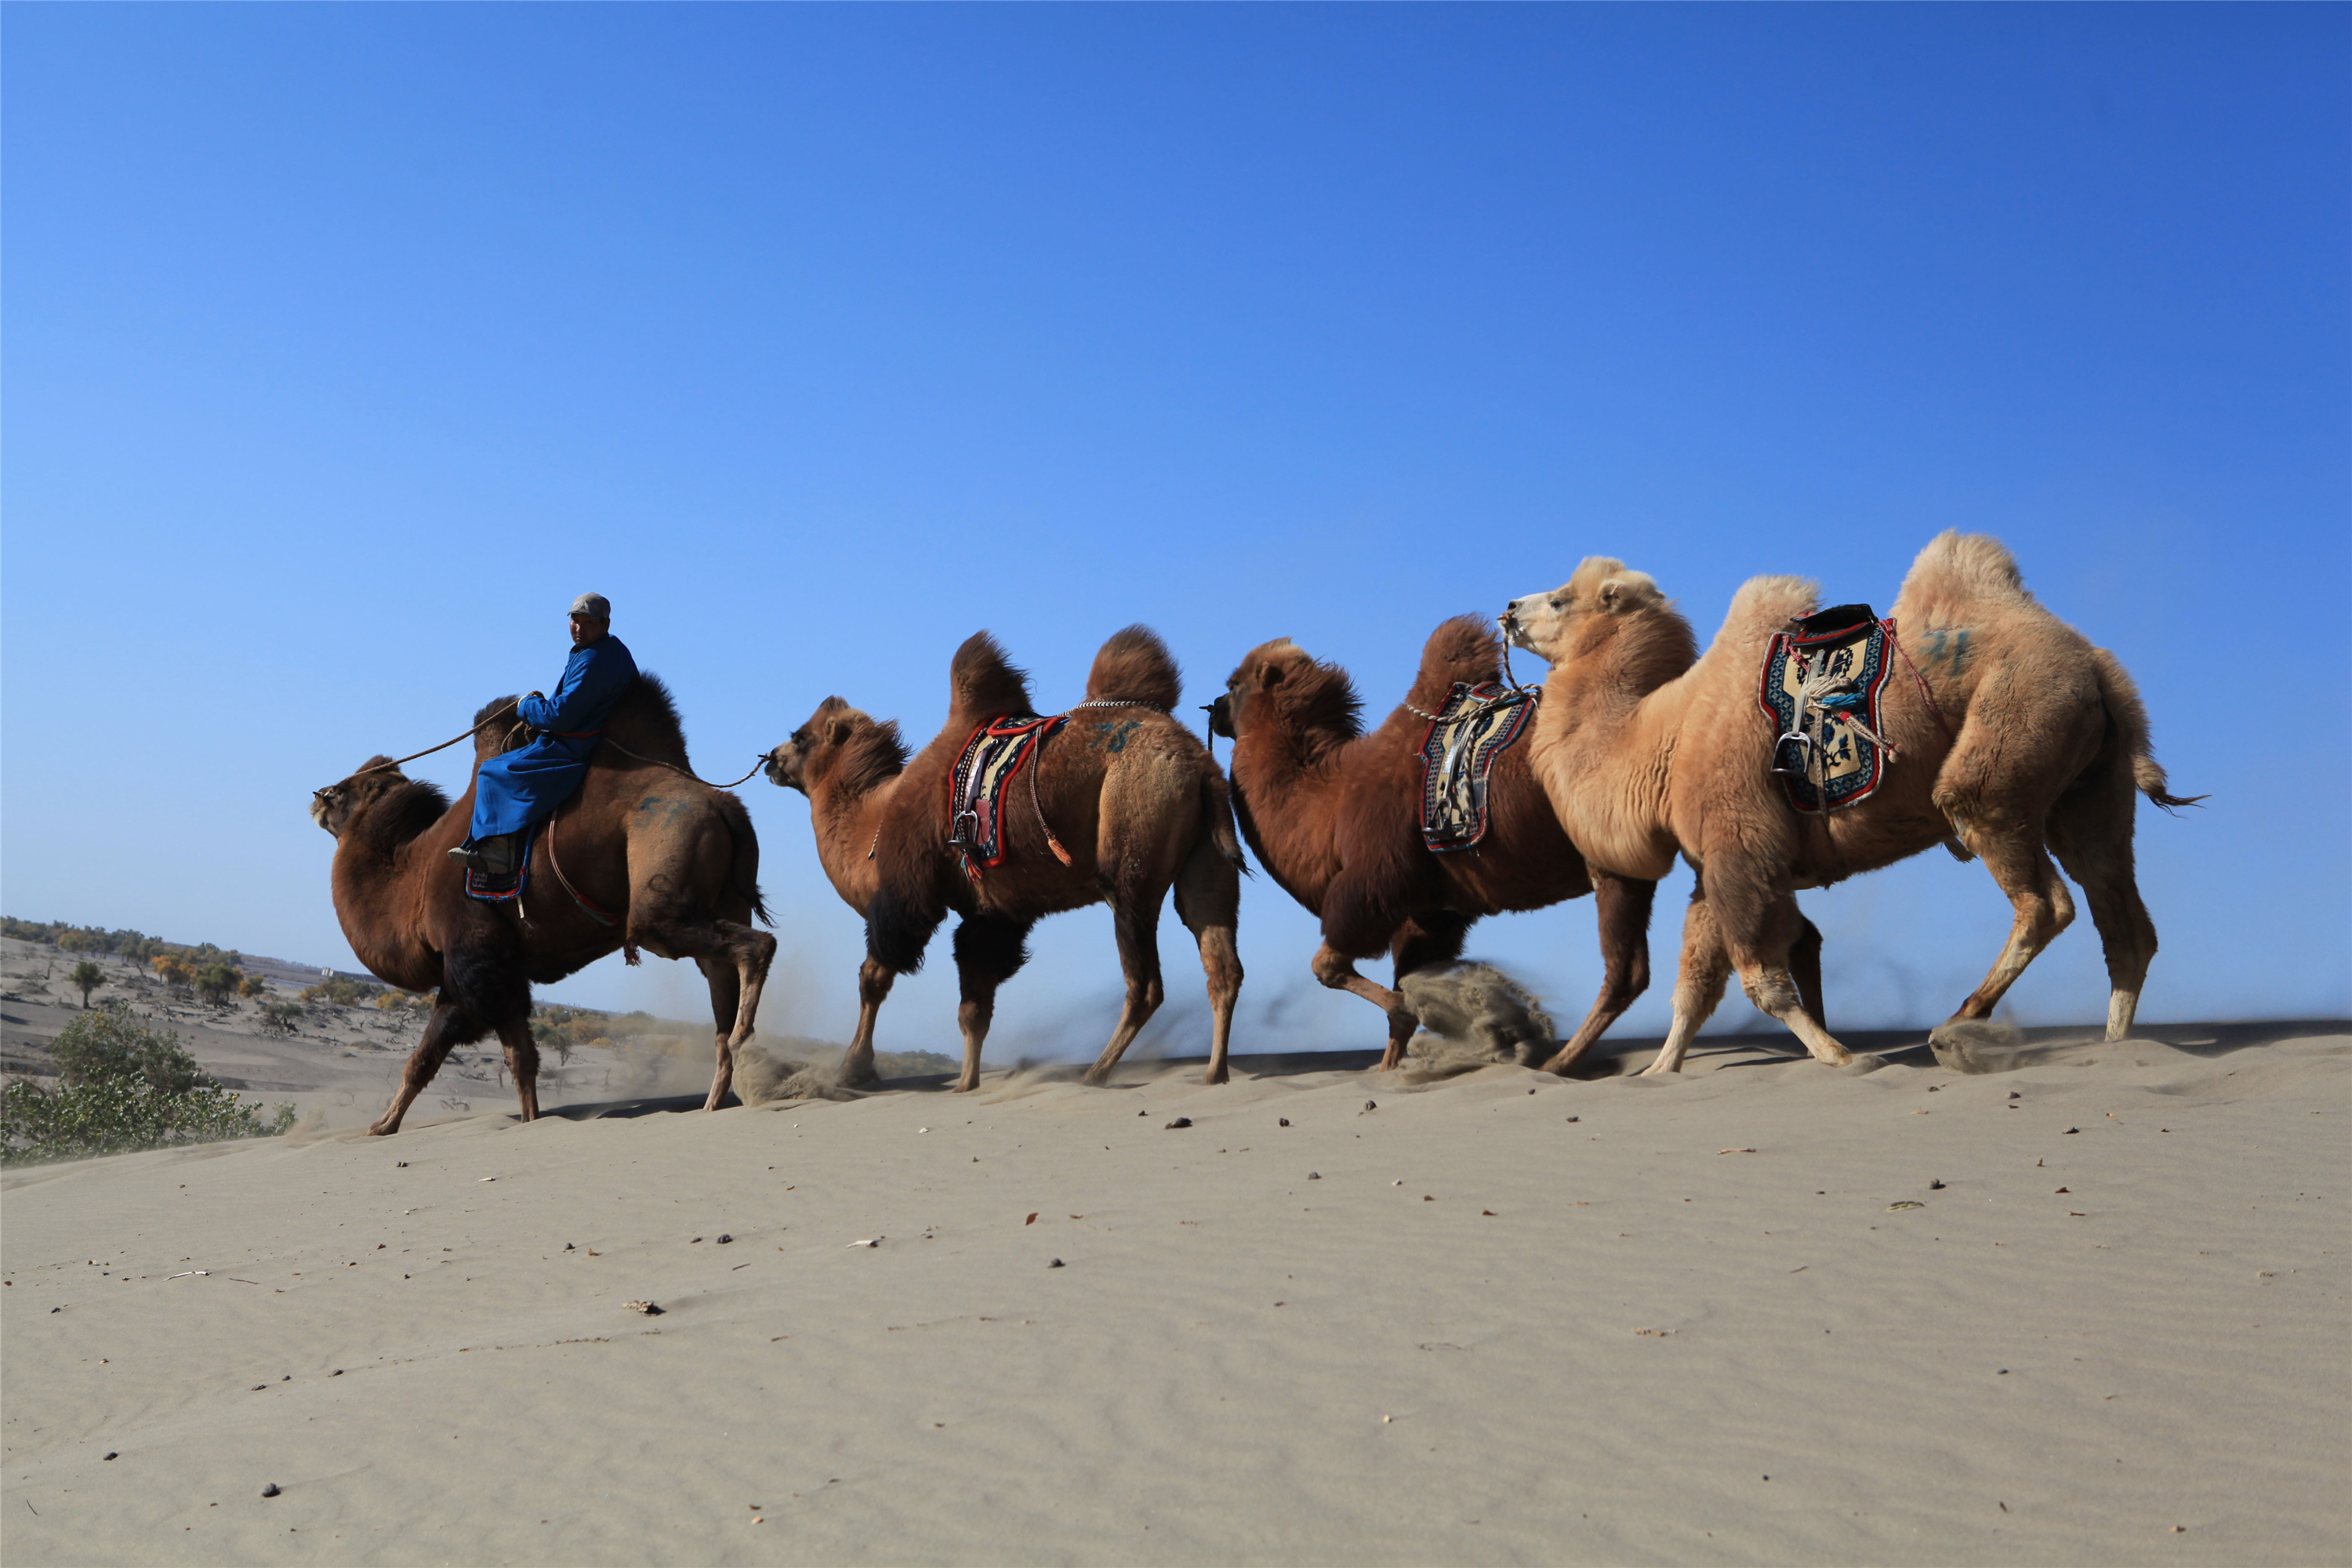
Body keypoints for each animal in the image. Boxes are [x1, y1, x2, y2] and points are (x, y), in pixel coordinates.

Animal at [306, 677, 771, 1128]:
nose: (317, 795)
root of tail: (726, 806)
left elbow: (428, 1056)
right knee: (721, 980)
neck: (414, 882)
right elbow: (521, 1060)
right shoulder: (506, 968)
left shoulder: (474, 957)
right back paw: (716, 1098)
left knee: (753, 946)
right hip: (721, 902)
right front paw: (530, 1121)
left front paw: (382, 1126)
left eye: (347, 792)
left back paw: (743, 1043)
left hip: (661, 886)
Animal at [767, 625, 1251, 1091]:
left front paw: (854, 1069)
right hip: (1208, 862)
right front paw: (967, 1084)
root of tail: (1198, 763)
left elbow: (875, 977)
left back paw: (1096, 1073)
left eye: (799, 737)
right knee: (1222, 964)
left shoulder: (908, 893)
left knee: (1145, 982)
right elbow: (974, 1007)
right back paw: (1215, 1072)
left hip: (1131, 856)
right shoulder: (991, 914)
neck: (875, 819)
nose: (770, 759)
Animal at [1204, 620, 1722, 1072]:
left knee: (1625, 972)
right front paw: (1390, 1068)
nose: (1212, 706)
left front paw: (1435, 1019)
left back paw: (1558, 1063)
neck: (1329, 802)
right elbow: (1406, 982)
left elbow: (1331, 966)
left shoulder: (1372, 885)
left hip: (1613, 859)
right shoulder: (1433, 914)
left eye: (1234, 683)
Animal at [1505, 533, 2201, 1072]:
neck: (1662, 739)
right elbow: (1694, 986)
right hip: (2089, 792)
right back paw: (2115, 1048)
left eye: (1560, 599)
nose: (1509, 606)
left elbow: (1760, 980)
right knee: (2123, 923)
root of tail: (2098, 665)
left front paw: (1842, 1057)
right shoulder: (1714, 865)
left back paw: (1960, 1023)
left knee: (2043, 900)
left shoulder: (1740, 848)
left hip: (1999, 758)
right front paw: (1658, 1072)